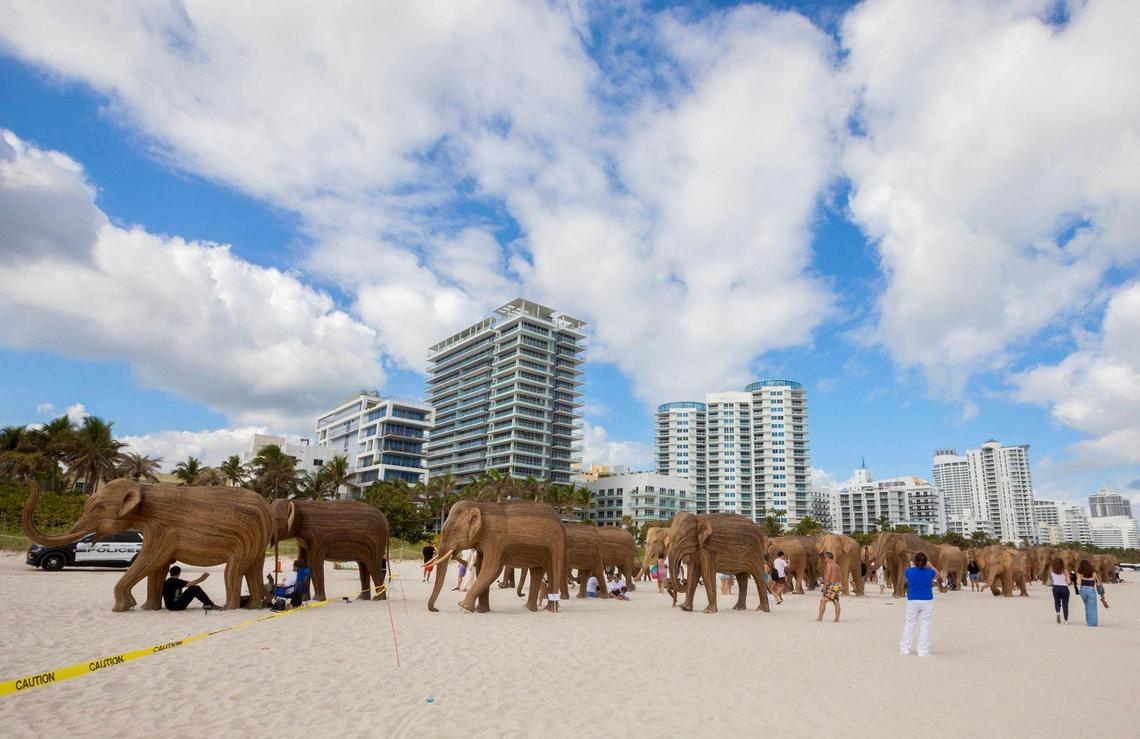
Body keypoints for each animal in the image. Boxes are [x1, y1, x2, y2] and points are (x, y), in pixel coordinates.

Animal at [23, 480, 271, 612]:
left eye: (96, 508)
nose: (31, 482)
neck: (144, 487)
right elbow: (158, 568)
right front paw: (146, 608)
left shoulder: (160, 529)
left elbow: (150, 561)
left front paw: (122, 608)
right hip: (256, 542)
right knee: (252, 570)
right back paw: (252, 607)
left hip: (247, 538)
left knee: (234, 570)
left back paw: (226, 609)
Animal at [426, 499, 566, 613]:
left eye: (455, 529)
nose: (436, 609)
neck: (480, 505)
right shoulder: (482, 545)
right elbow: (480, 568)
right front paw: (480, 611)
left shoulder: (495, 540)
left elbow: (492, 570)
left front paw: (463, 607)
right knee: (537, 572)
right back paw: (529, 609)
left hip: (556, 545)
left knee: (553, 571)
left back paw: (550, 610)